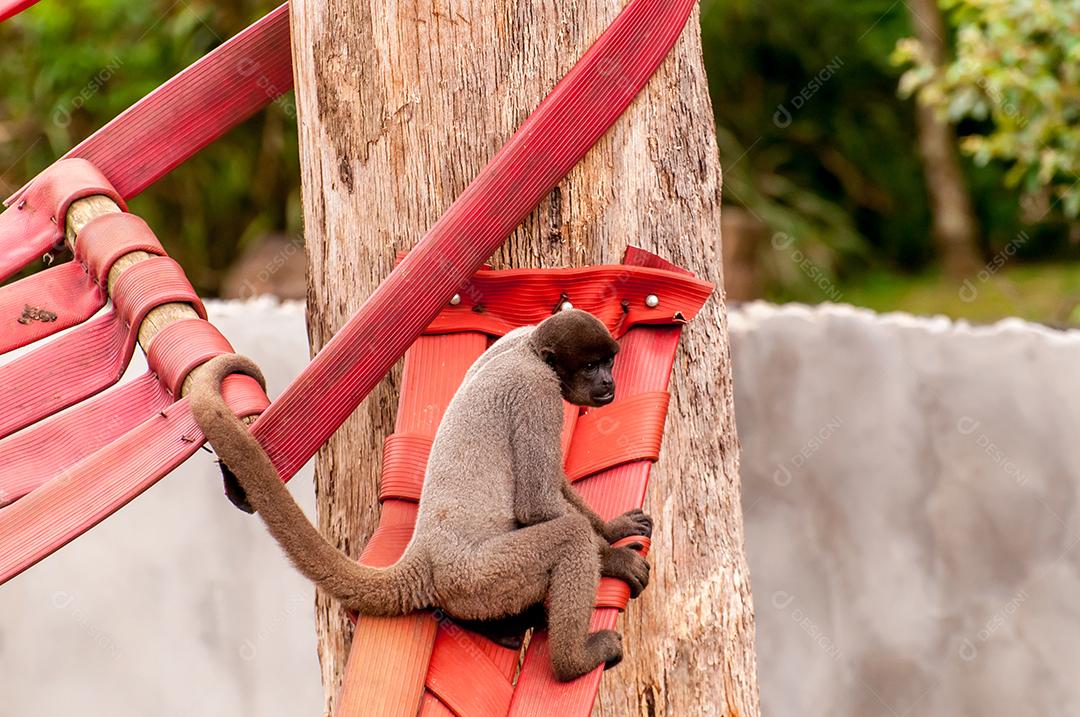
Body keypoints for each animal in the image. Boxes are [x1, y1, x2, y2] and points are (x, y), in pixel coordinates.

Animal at [190, 308, 652, 678]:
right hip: (481, 576)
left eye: (609, 360)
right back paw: (574, 662)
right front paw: (614, 557)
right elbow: (538, 503)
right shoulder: (537, 392)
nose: (608, 380)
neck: (530, 349)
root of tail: (425, 555)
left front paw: (613, 528)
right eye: (591, 366)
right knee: (569, 537)